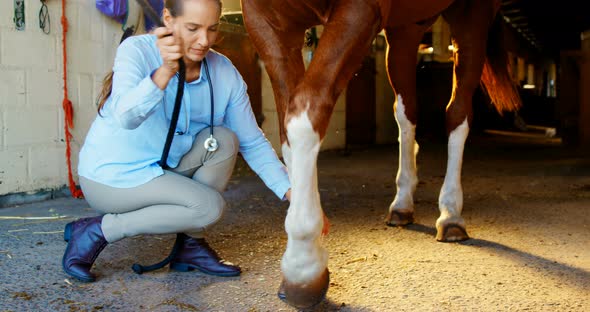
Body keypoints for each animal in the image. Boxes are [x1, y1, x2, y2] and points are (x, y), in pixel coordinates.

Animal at [240, 0, 524, 308]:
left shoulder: (360, 10)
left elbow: (306, 113)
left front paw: (303, 269)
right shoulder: (265, 21)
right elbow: (287, 130)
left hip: (471, 16)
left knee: (457, 113)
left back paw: (450, 215)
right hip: (405, 30)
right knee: (407, 111)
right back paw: (402, 204)